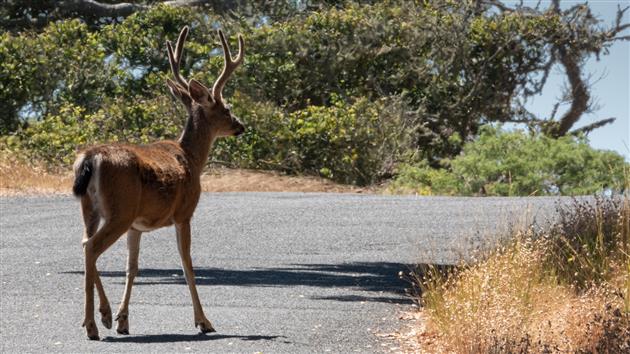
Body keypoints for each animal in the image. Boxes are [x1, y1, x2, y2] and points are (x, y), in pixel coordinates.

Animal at [71, 25, 244, 340]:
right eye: (226, 108)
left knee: (85, 243)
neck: (191, 157)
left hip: (91, 208)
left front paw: (123, 320)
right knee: (92, 248)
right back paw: (92, 324)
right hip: (119, 210)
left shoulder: (136, 226)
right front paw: (204, 321)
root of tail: (91, 157)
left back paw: (101, 317)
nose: (241, 126)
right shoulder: (184, 213)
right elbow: (187, 265)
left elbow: (132, 267)